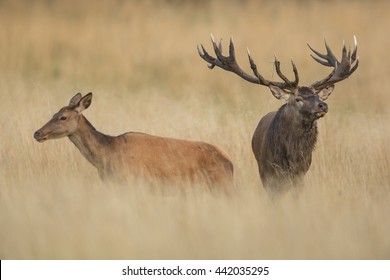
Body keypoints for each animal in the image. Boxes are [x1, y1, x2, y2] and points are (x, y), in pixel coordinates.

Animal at [33, 93, 233, 189]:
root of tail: (230, 164)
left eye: (63, 117)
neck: (105, 156)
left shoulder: (130, 181)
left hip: (220, 185)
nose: (37, 133)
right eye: (54, 113)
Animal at [200, 34, 358, 192]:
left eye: (318, 96)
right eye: (298, 99)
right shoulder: (269, 173)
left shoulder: (301, 173)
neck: (292, 155)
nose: (323, 105)